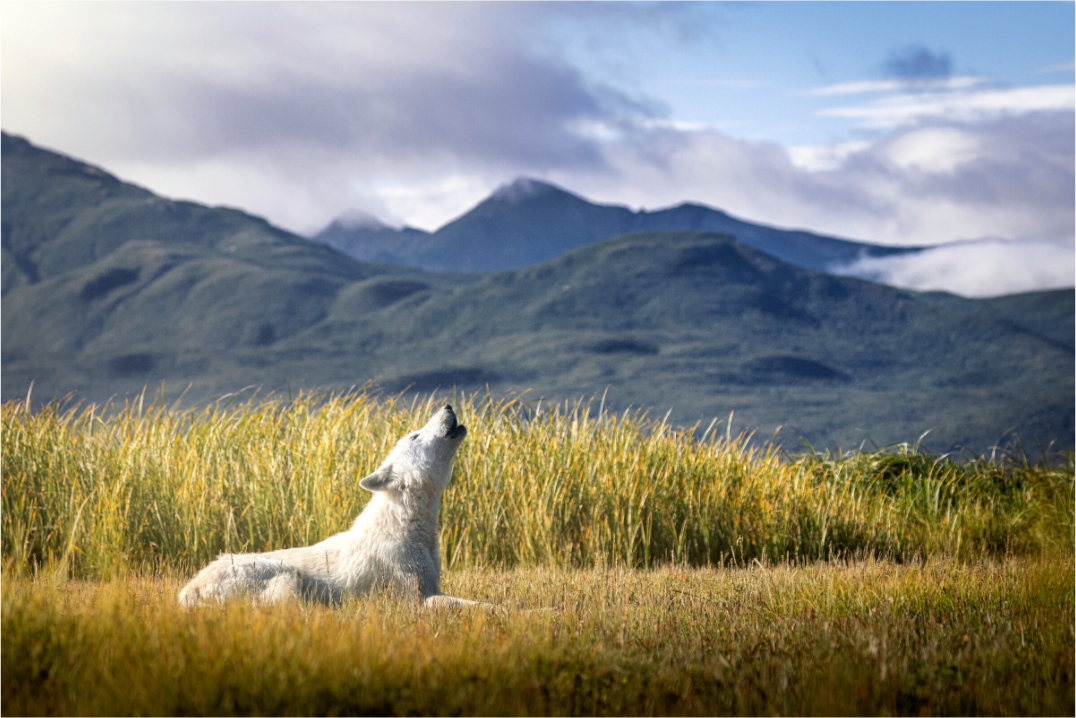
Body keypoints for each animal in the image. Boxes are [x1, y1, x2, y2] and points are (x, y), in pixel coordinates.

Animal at [178, 404, 487, 610]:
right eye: (415, 435)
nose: (447, 405)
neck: (405, 526)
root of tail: (187, 592)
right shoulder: (416, 596)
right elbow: (471, 605)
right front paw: (495, 610)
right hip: (284, 577)